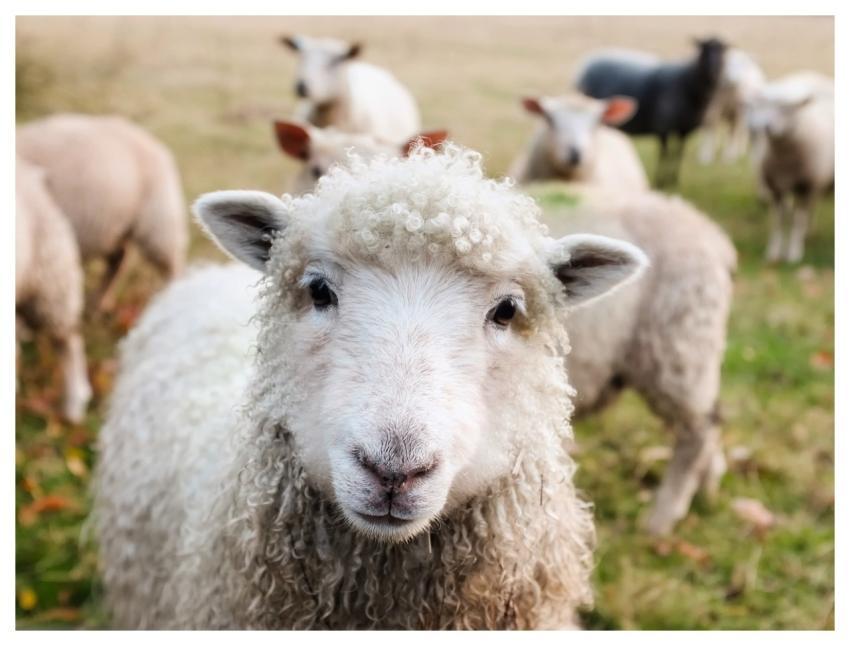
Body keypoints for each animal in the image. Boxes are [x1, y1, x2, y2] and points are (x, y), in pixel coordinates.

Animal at [575, 38, 727, 187]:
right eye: (704, 49)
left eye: (723, 51)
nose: (714, 70)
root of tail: (586, 63)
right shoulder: (663, 127)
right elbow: (664, 154)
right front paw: (661, 181)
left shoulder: (684, 130)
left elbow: (678, 154)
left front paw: (673, 180)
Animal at [746, 72, 834, 263]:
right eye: (764, 106)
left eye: (787, 109)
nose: (765, 127)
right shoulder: (776, 188)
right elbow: (778, 221)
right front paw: (773, 252)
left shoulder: (806, 186)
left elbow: (797, 221)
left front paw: (794, 252)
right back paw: (809, 232)